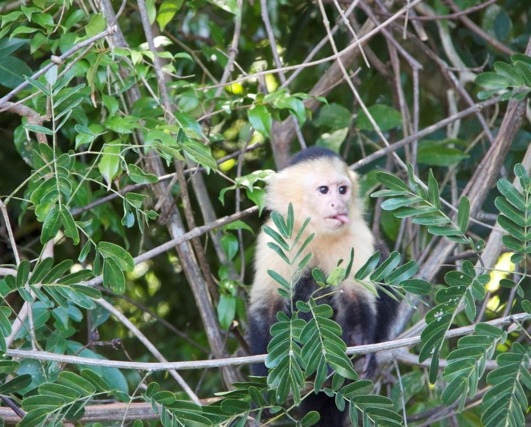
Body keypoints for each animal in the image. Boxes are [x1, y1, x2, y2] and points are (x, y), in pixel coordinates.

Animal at [249, 146, 400, 424]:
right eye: (323, 190)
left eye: (342, 189)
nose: (338, 204)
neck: (316, 232)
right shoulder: (276, 237)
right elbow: (268, 304)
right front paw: (264, 377)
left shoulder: (355, 234)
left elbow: (355, 295)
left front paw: (361, 346)